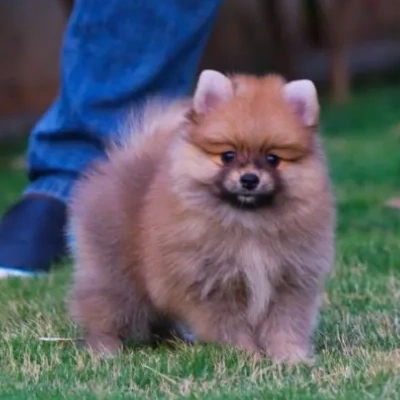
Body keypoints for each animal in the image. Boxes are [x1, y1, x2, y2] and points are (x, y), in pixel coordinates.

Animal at [68, 69, 334, 362]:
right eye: (228, 155)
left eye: (273, 159)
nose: (249, 179)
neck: (248, 220)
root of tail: (127, 158)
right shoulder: (212, 285)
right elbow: (231, 327)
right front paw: (247, 355)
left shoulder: (290, 281)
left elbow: (286, 324)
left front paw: (291, 357)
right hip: (115, 274)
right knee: (103, 308)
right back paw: (104, 349)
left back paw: (172, 339)